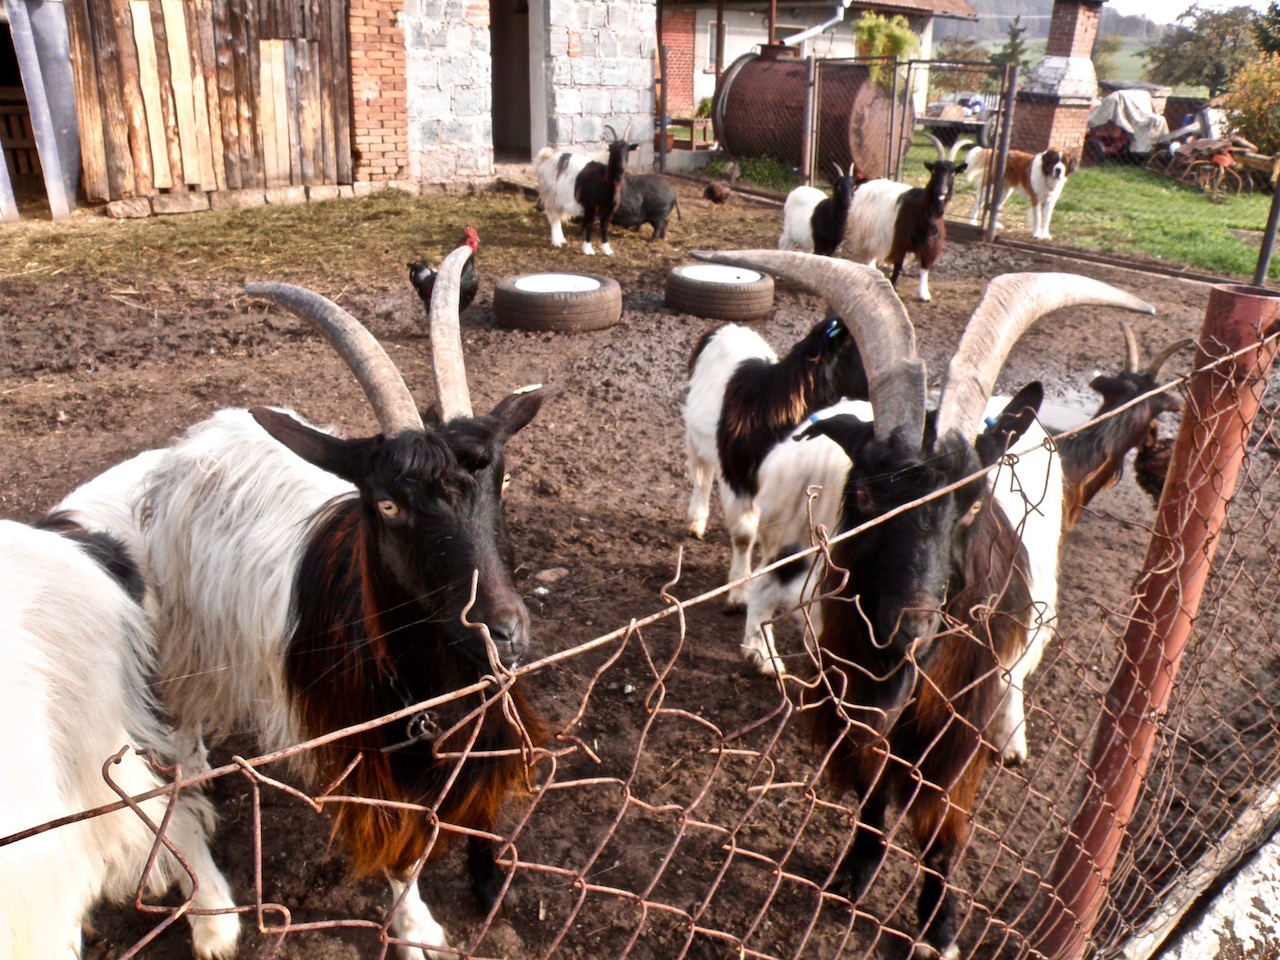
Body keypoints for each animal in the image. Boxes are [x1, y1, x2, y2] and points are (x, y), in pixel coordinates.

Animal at [57, 245, 555, 960]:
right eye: (387, 505)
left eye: (504, 479)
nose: (504, 628)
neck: (435, 679)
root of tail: (183, 451)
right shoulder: (366, 751)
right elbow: (399, 849)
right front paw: (417, 931)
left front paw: (490, 880)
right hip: (172, 651)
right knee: (172, 757)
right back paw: (210, 900)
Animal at [535, 126, 640, 257]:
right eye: (612, 149)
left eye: (628, 150)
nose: (621, 166)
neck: (605, 183)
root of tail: (546, 157)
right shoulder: (591, 207)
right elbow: (590, 226)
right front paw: (588, 249)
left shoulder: (609, 210)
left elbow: (604, 227)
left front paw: (607, 249)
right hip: (550, 195)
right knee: (553, 217)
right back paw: (556, 242)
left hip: (559, 199)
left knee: (557, 217)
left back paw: (561, 239)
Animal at [701, 249, 1162, 960]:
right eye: (866, 496)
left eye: (970, 501)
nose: (910, 625)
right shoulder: (860, 701)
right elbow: (871, 801)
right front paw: (854, 876)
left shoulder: (960, 715)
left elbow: (945, 823)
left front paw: (940, 925)